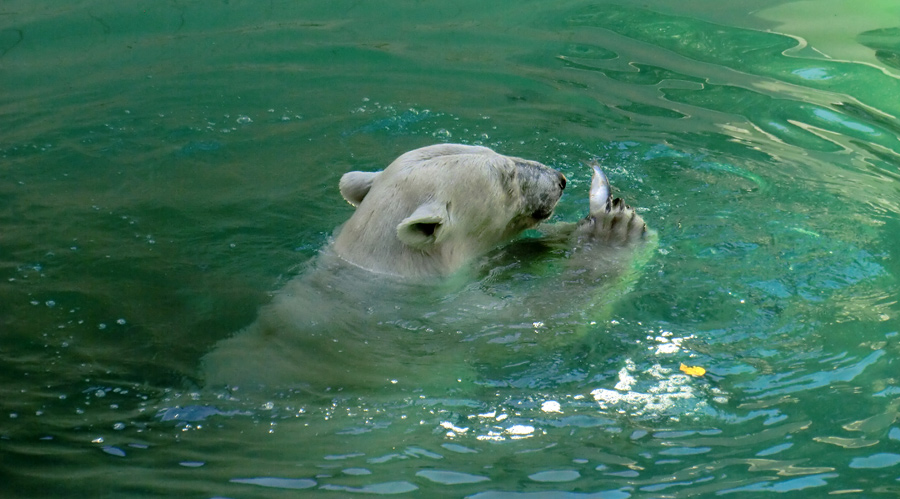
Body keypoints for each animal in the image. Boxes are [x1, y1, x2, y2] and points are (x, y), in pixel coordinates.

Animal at [203, 143, 652, 392]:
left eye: (495, 154)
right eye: (506, 176)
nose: (559, 178)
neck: (388, 269)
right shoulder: (437, 324)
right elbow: (538, 322)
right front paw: (614, 233)